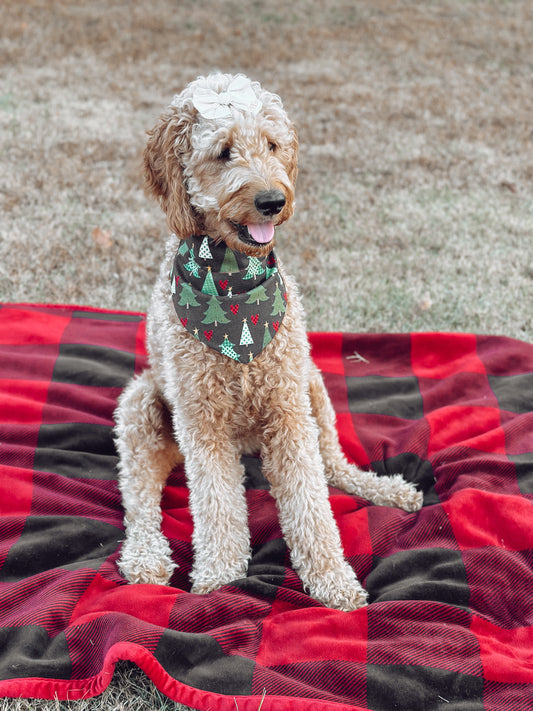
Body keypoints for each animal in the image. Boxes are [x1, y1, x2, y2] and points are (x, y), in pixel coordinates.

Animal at [114, 72, 422, 608]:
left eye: (273, 146)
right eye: (223, 152)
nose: (272, 201)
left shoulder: (288, 408)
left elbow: (311, 501)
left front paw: (333, 580)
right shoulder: (202, 421)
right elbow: (217, 506)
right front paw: (220, 578)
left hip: (312, 383)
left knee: (334, 466)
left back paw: (388, 489)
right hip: (141, 407)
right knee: (141, 500)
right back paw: (145, 559)